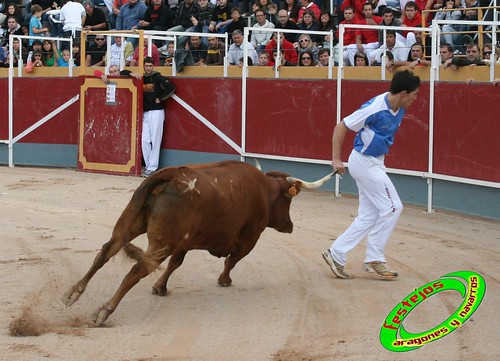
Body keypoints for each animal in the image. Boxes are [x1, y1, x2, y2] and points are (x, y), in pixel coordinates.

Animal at [64, 160, 334, 324]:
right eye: (289, 200)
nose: (290, 226)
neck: (265, 190)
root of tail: (170, 174)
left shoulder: (184, 243)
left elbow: (176, 264)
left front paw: (160, 287)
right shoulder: (250, 238)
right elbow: (232, 261)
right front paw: (224, 280)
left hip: (130, 225)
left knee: (106, 251)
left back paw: (73, 293)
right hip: (162, 241)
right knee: (137, 270)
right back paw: (104, 310)